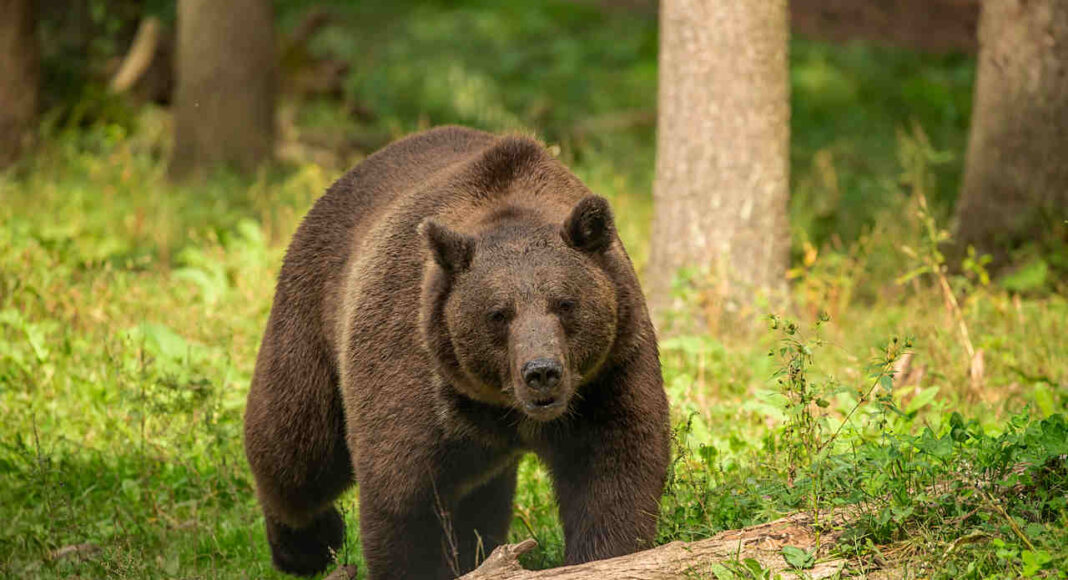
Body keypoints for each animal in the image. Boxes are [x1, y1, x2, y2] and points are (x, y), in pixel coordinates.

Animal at [243, 126, 670, 579]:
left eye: (565, 303)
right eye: (498, 314)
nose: (542, 372)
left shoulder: (608, 372)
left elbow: (615, 470)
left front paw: (603, 556)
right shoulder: (413, 367)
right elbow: (401, 493)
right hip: (312, 318)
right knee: (296, 445)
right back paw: (304, 546)